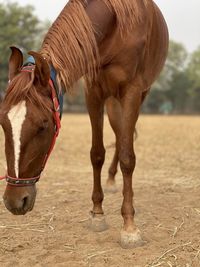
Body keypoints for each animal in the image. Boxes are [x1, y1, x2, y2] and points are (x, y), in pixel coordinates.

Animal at [0, 0, 169, 249]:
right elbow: (96, 154)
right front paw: (97, 214)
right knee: (118, 134)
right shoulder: (93, 91)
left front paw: (129, 228)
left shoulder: (132, 91)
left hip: (137, 96)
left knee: (124, 138)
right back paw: (111, 180)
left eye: (43, 126)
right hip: (112, 103)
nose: (15, 201)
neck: (115, 28)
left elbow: (128, 157)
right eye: (3, 123)